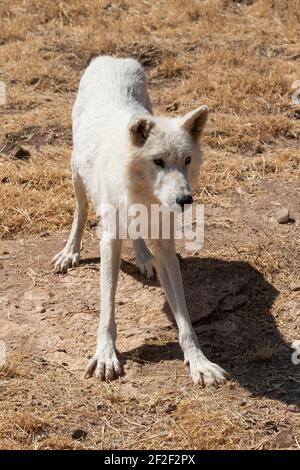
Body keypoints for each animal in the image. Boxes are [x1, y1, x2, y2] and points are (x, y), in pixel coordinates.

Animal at [52, 56, 227, 386]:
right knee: (80, 210)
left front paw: (200, 362)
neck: (143, 196)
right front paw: (106, 355)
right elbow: (107, 307)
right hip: (76, 172)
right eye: (158, 161)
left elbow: (185, 319)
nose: (185, 199)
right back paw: (70, 252)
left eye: (186, 160)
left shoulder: (166, 246)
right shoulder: (109, 241)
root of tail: (111, 58)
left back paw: (144, 258)